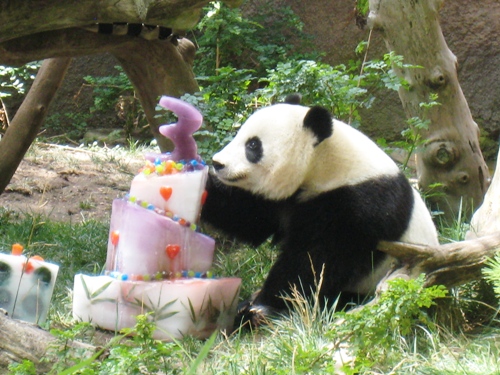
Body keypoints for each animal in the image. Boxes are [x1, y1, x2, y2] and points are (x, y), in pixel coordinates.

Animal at [199, 97, 438, 328]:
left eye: (253, 145)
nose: (218, 163)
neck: (325, 164)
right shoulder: (288, 196)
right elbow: (247, 218)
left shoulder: (361, 204)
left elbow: (315, 264)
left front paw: (261, 308)